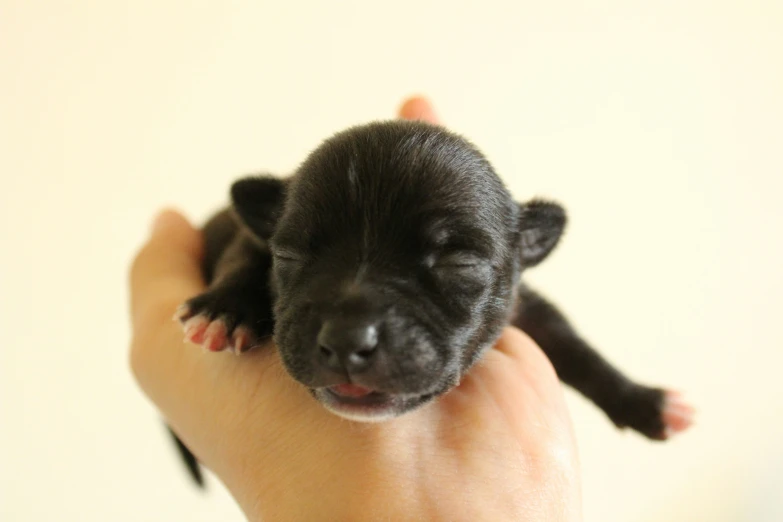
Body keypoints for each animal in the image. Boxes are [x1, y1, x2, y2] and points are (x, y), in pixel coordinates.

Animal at [175, 118, 696, 480]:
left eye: (459, 266)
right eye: (287, 255)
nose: (346, 340)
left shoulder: (524, 307)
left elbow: (575, 348)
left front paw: (645, 402)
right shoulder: (244, 234)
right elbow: (242, 257)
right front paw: (224, 310)